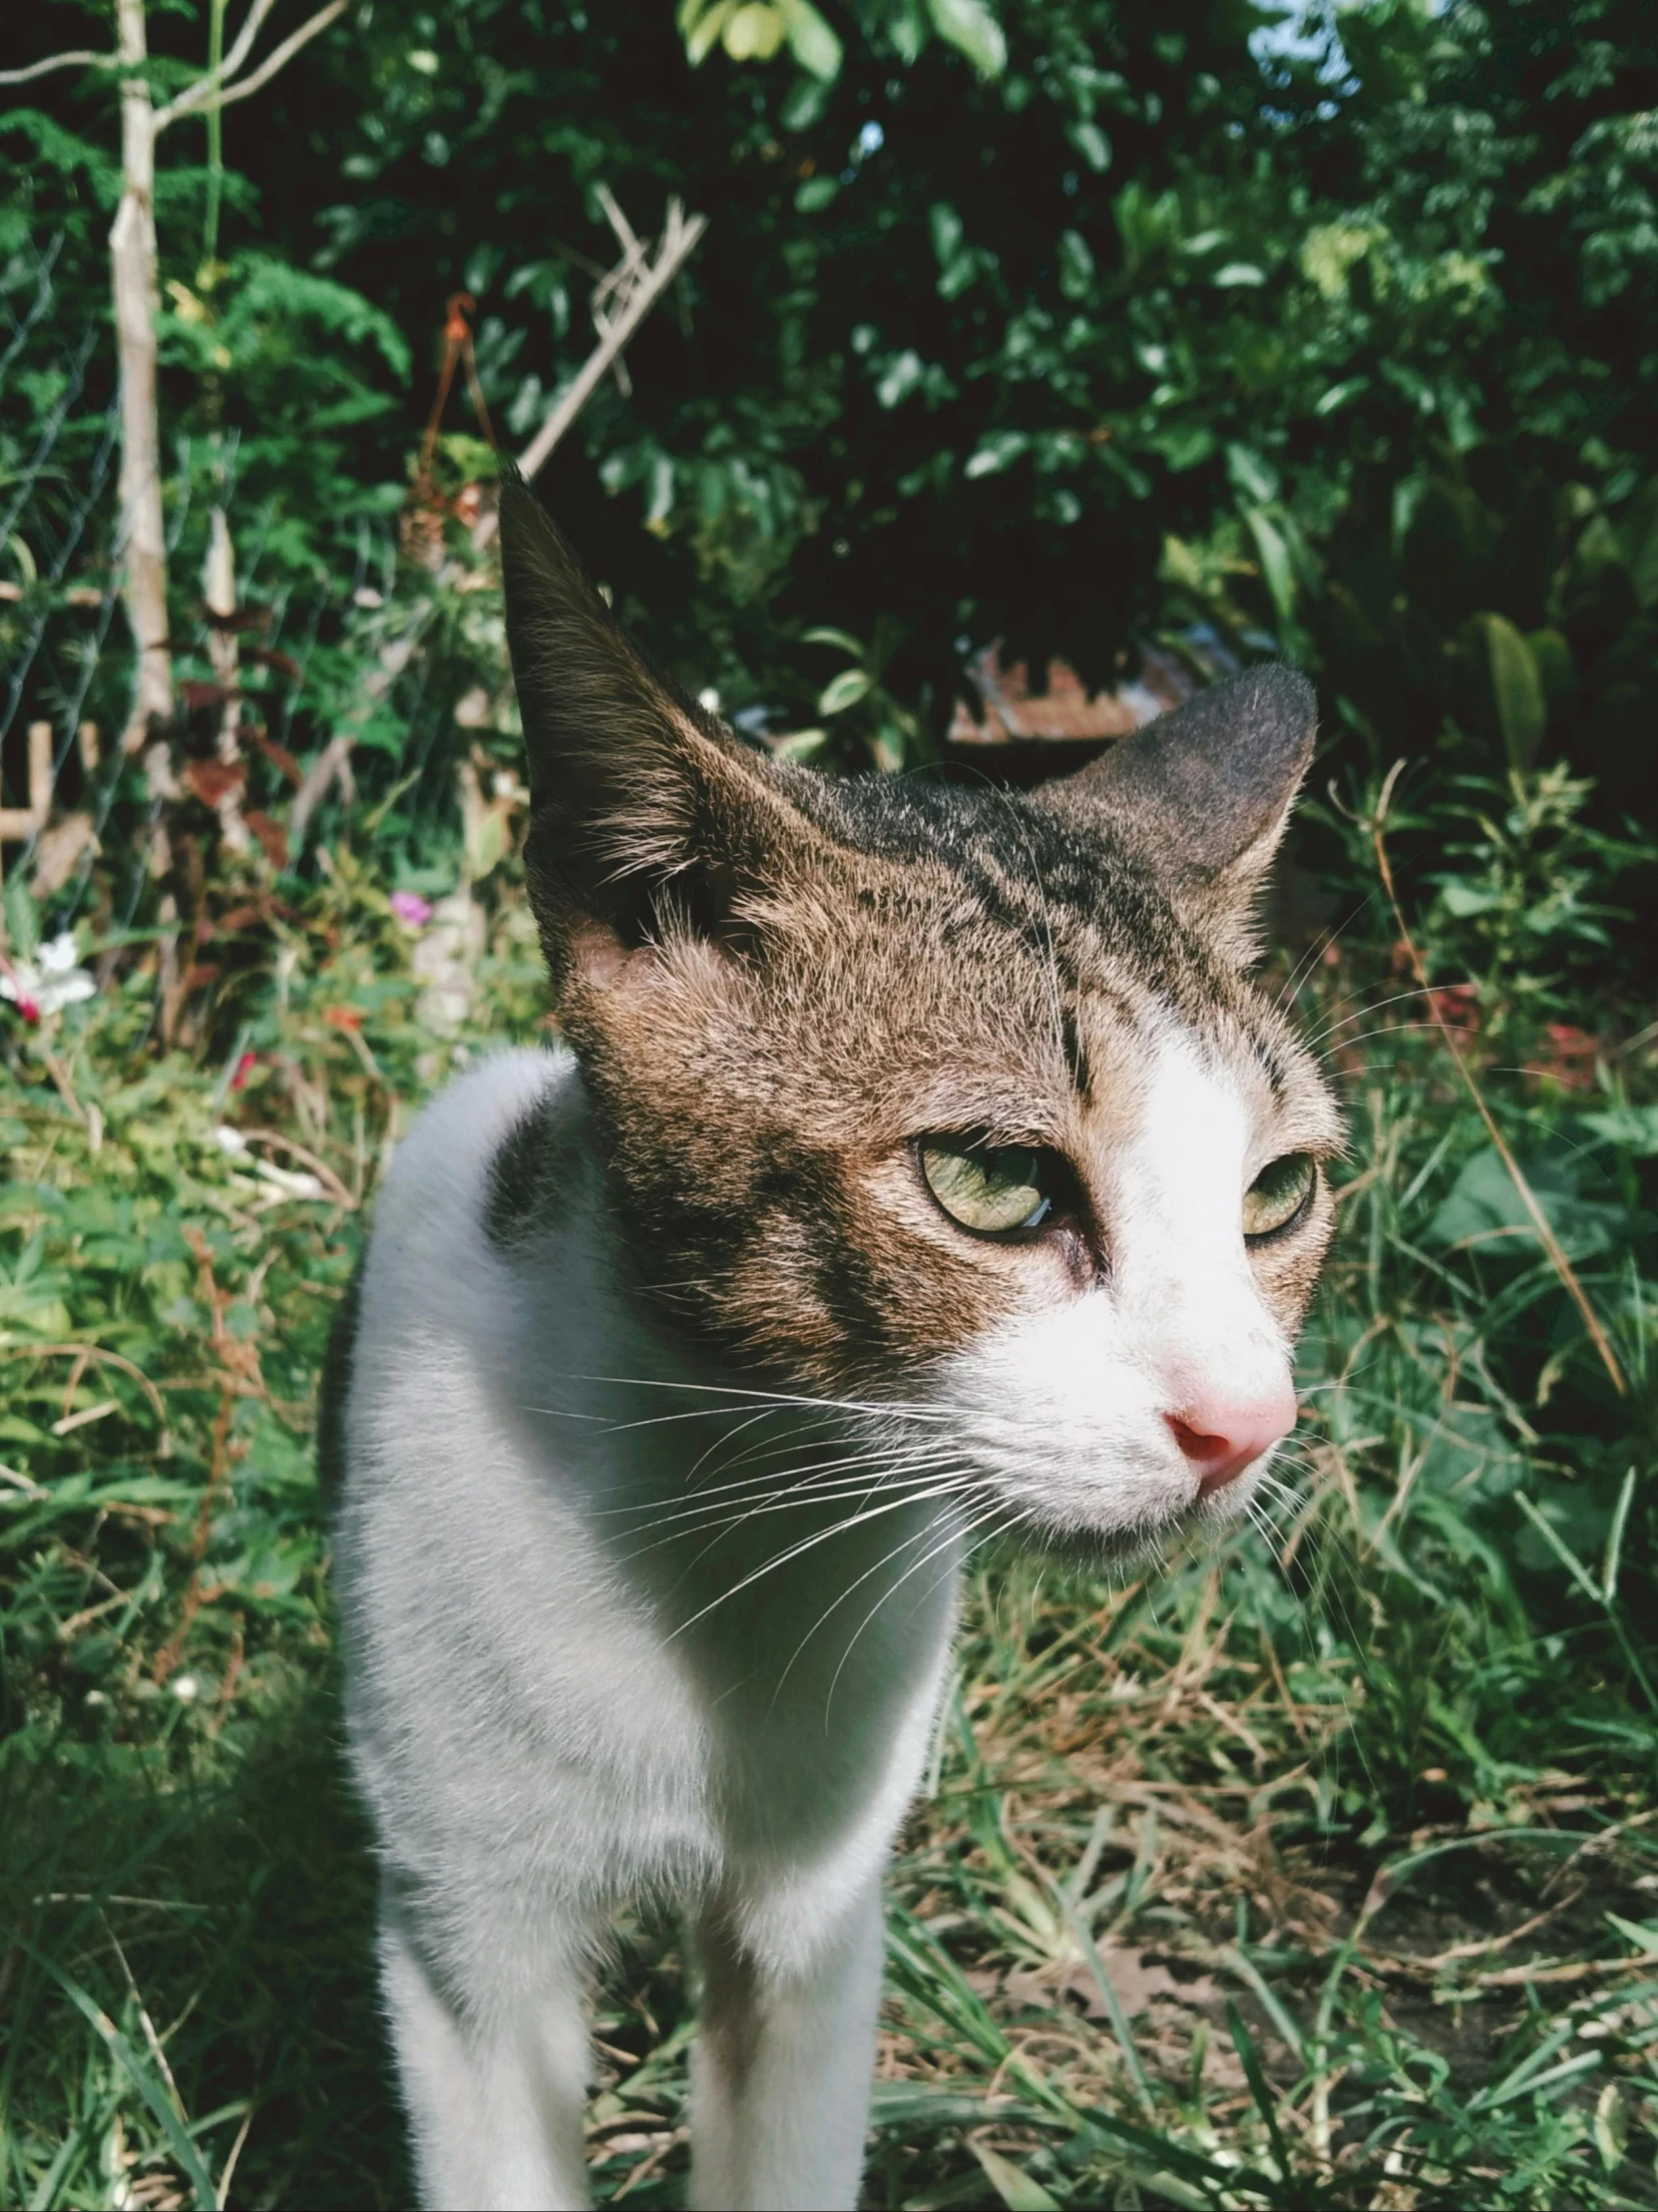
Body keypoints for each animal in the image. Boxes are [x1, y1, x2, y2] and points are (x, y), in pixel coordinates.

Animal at [326, 475, 1353, 2203]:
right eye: (991, 1182)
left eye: (1275, 1194)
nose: (1244, 1425)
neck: (729, 1523)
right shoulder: (463, 1926)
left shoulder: (814, 1921)